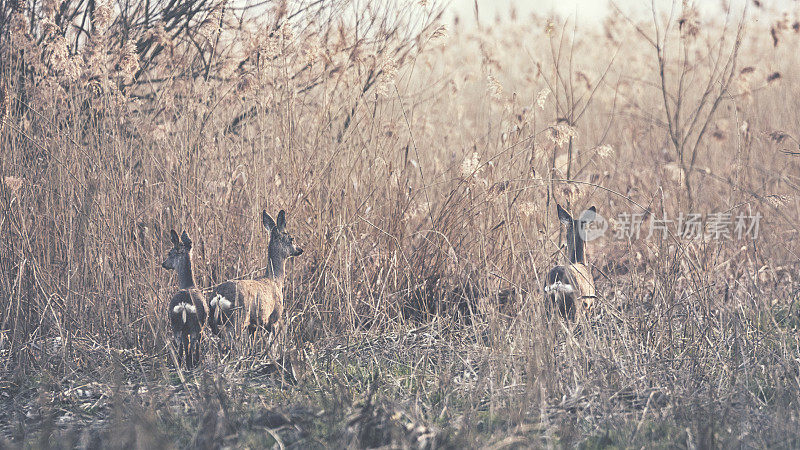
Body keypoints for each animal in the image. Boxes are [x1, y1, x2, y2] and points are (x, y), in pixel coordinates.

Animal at [161, 230, 206, 368]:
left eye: (169, 253)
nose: (163, 264)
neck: (189, 285)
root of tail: (184, 305)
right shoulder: (201, 325)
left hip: (176, 324)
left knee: (181, 345)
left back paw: (181, 364)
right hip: (193, 324)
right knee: (191, 345)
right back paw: (191, 364)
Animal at [206, 209, 304, 354]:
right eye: (291, 238)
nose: (300, 250)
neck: (275, 280)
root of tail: (218, 296)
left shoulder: (253, 326)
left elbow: (252, 344)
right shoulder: (274, 318)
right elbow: (273, 345)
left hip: (212, 321)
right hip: (237, 318)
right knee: (233, 344)